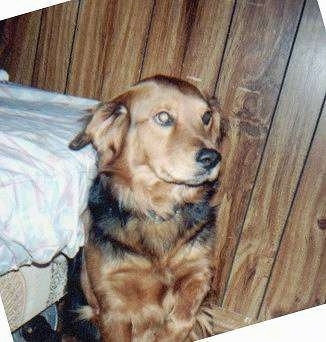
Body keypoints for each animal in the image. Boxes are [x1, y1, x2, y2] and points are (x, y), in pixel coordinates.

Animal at [69, 76, 222, 340]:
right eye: (163, 117)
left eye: (206, 117)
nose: (212, 158)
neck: (158, 208)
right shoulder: (112, 306)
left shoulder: (199, 271)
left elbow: (182, 319)